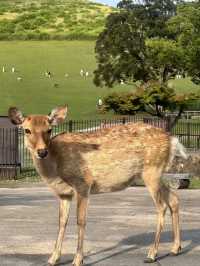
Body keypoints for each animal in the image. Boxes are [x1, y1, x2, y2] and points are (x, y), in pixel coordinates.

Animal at [8, 106, 188, 266]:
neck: (56, 167)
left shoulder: (83, 183)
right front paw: (52, 259)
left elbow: (81, 220)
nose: (42, 151)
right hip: (158, 175)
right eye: (27, 130)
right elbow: (62, 221)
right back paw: (175, 248)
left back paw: (151, 254)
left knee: (161, 206)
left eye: (49, 129)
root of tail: (173, 140)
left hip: (152, 171)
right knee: (174, 200)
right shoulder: (64, 194)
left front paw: (77, 260)